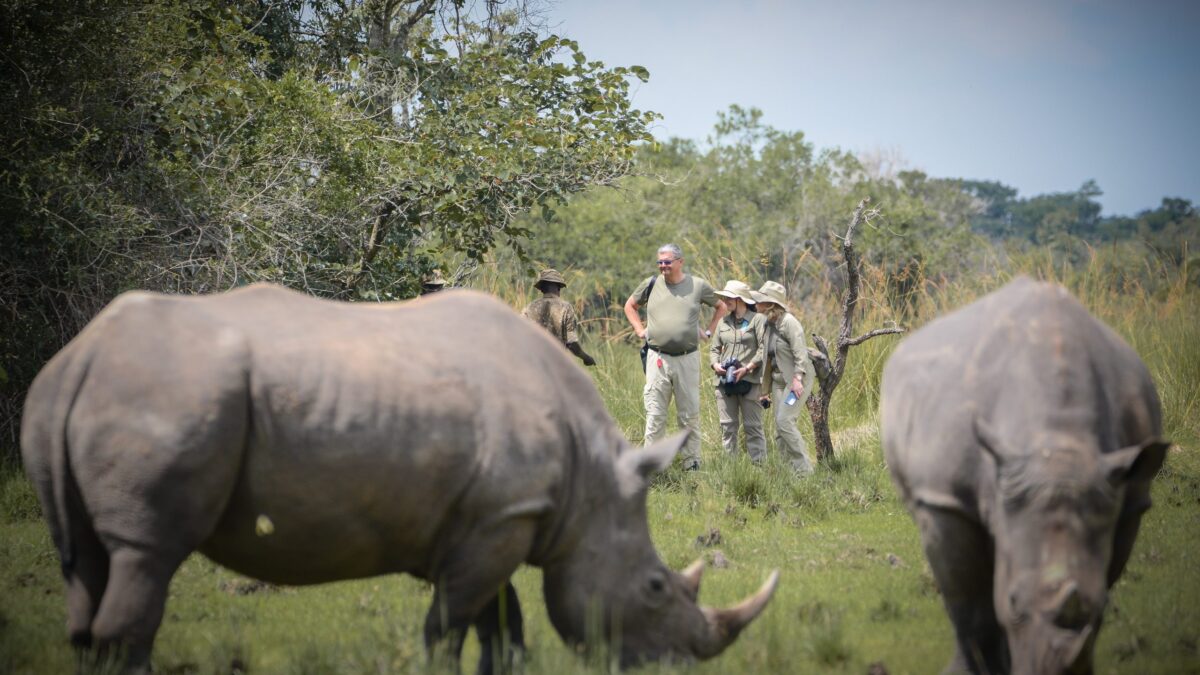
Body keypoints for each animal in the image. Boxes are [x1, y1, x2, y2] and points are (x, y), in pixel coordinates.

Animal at [21, 283, 779, 673]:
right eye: (654, 587)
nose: (678, 664)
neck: (591, 491)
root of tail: (78, 359)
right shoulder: (499, 521)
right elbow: (447, 627)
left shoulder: (494, 517)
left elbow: (500, 623)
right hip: (171, 395)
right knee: (146, 552)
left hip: (84, 398)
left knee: (87, 562)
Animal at [881, 277, 1168, 675]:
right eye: (1014, 602)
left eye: (1101, 608)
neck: (1057, 444)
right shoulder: (945, 501)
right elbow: (972, 607)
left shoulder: (1127, 500)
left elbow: (1098, 581)